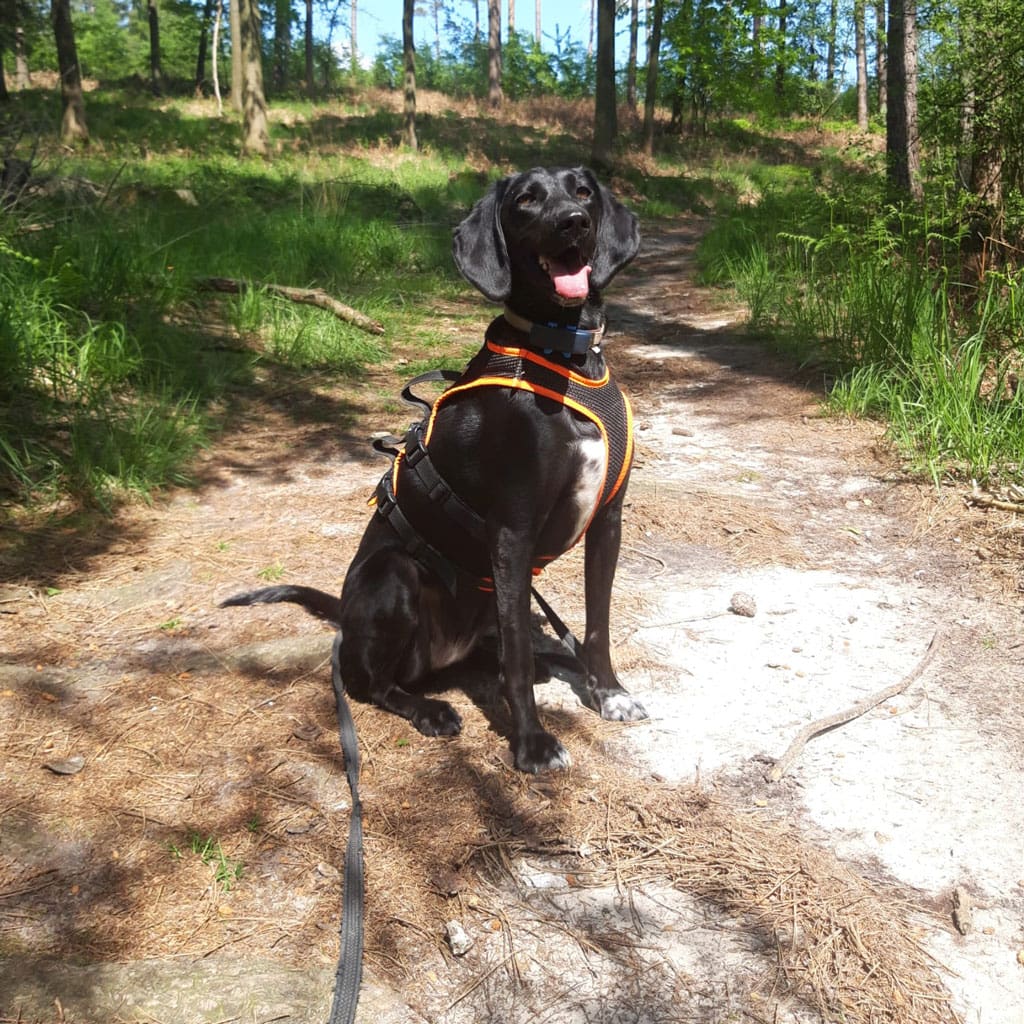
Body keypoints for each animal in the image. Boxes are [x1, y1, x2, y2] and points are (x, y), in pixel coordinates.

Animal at [222, 166, 648, 773]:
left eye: (583, 192)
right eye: (526, 201)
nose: (573, 222)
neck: (566, 355)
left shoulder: (607, 521)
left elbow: (596, 625)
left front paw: (607, 691)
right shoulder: (512, 532)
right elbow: (519, 657)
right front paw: (532, 742)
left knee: (493, 649)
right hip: (393, 575)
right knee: (370, 681)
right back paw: (429, 709)